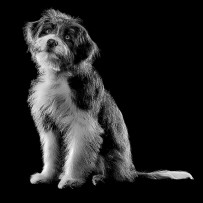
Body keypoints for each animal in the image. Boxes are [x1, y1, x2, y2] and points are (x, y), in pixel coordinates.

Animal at [24, 8, 193, 189]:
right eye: (47, 31)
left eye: (68, 37)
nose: (51, 42)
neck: (60, 76)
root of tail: (131, 171)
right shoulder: (49, 125)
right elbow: (50, 153)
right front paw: (47, 176)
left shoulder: (84, 126)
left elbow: (77, 156)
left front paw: (71, 179)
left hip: (110, 156)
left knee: (118, 176)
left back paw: (101, 178)